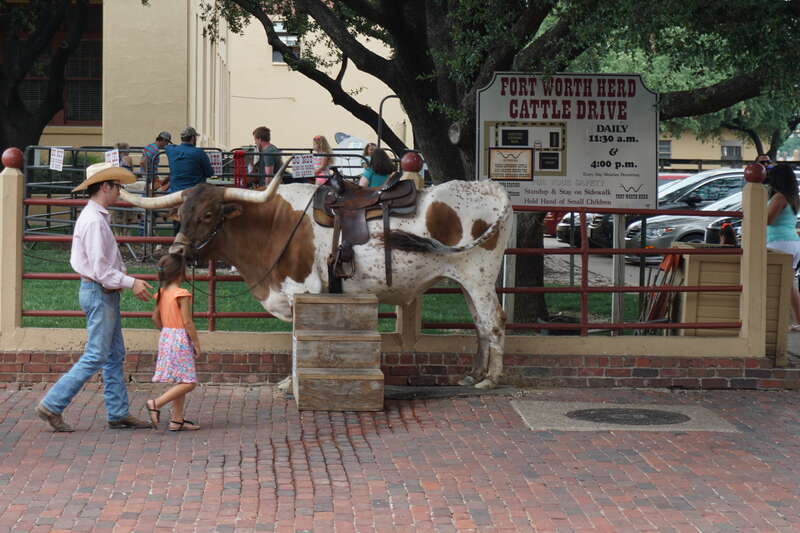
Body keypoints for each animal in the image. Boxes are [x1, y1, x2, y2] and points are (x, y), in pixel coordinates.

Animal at [120, 168, 512, 389]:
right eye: (181, 214)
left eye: (208, 214)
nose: (171, 256)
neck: (275, 224)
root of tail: (491, 188)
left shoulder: (303, 290)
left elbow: (298, 340)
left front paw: (290, 382)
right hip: (466, 280)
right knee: (479, 324)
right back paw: (473, 374)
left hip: (479, 277)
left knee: (492, 322)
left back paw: (491, 380)